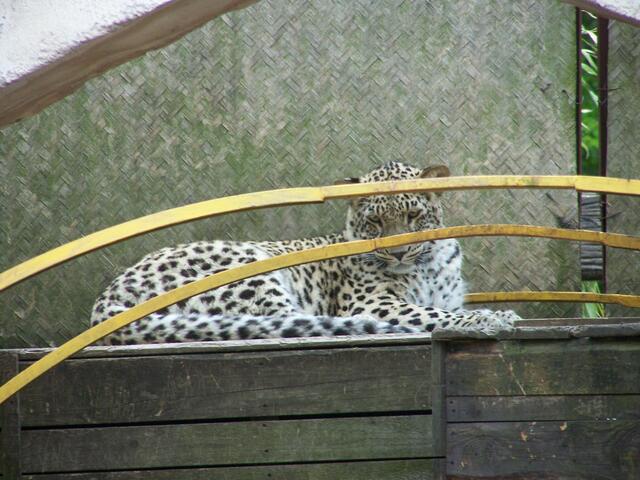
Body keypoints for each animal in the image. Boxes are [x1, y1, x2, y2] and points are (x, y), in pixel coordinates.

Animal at [91, 161, 519, 345]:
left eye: (413, 216)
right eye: (375, 223)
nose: (397, 254)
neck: (428, 264)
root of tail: (108, 296)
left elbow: (442, 307)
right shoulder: (373, 302)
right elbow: (431, 313)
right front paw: (490, 317)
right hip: (251, 267)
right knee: (286, 321)